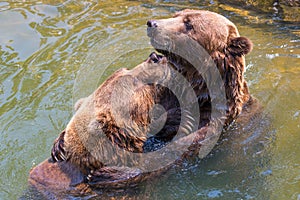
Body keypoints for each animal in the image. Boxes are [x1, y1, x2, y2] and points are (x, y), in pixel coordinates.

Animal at [28, 9, 258, 197]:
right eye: (177, 14)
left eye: (189, 24)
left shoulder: (207, 122)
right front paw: (58, 145)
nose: (152, 24)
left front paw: (109, 173)